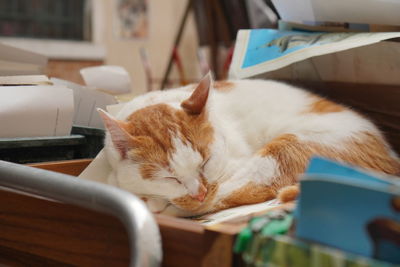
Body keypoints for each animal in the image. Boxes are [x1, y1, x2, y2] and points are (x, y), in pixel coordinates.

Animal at [97, 74, 400, 218]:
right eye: (169, 177)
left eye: (205, 162)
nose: (199, 193)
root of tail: (391, 159)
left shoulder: (235, 164)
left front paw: (157, 201)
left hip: (292, 146)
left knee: (244, 190)